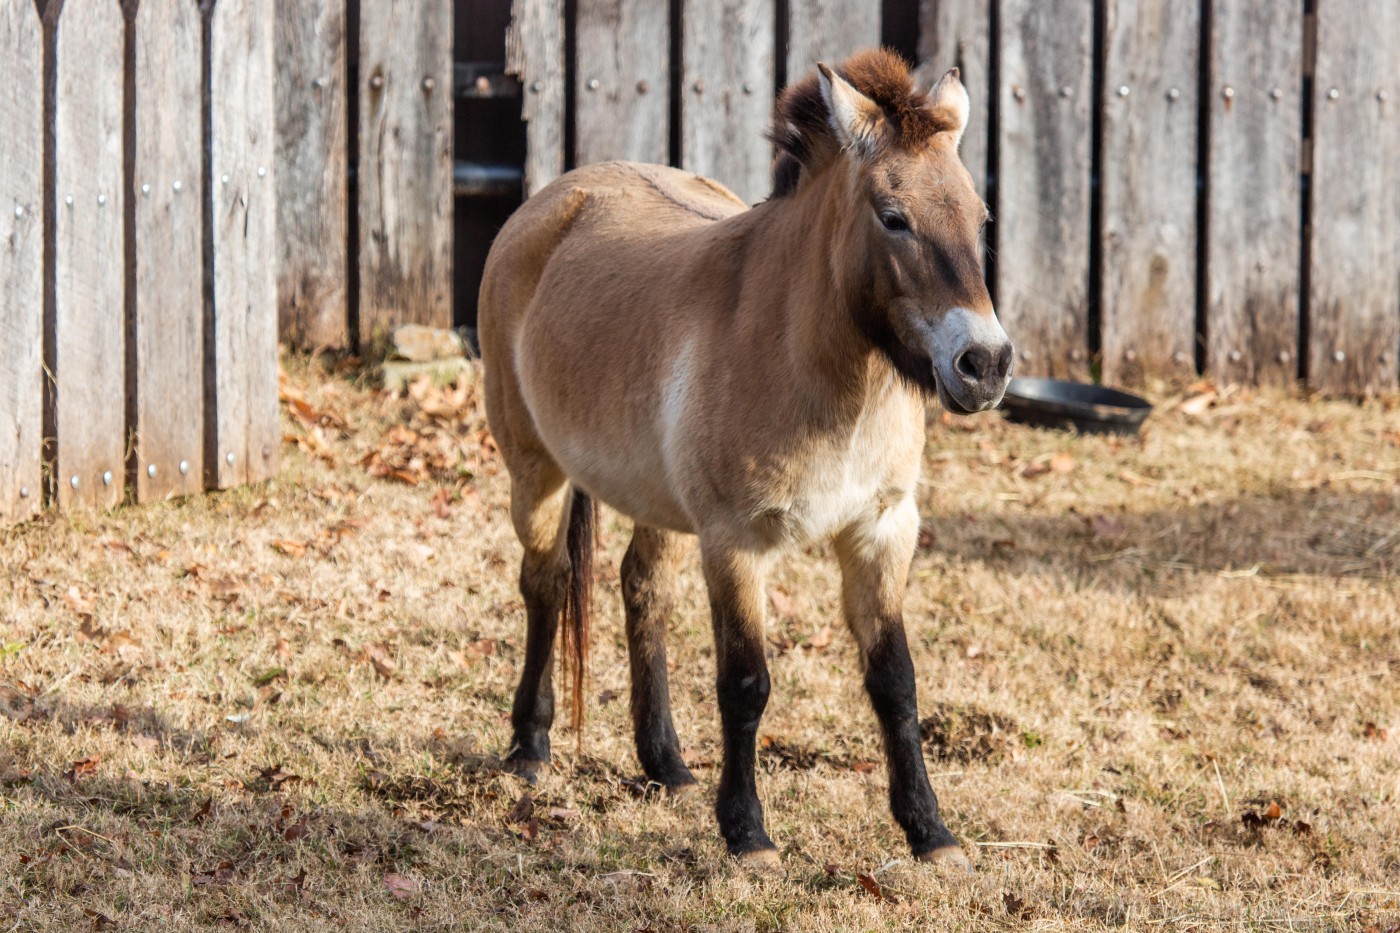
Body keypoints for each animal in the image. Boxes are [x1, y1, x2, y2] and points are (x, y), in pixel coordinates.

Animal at [478, 49, 1008, 862]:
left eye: (979, 218)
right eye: (893, 218)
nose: (984, 364)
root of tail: (550, 202)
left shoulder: (882, 531)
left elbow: (895, 679)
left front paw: (930, 831)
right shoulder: (736, 544)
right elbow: (746, 683)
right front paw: (747, 832)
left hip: (656, 503)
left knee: (642, 589)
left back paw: (665, 763)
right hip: (535, 470)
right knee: (548, 582)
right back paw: (530, 748)